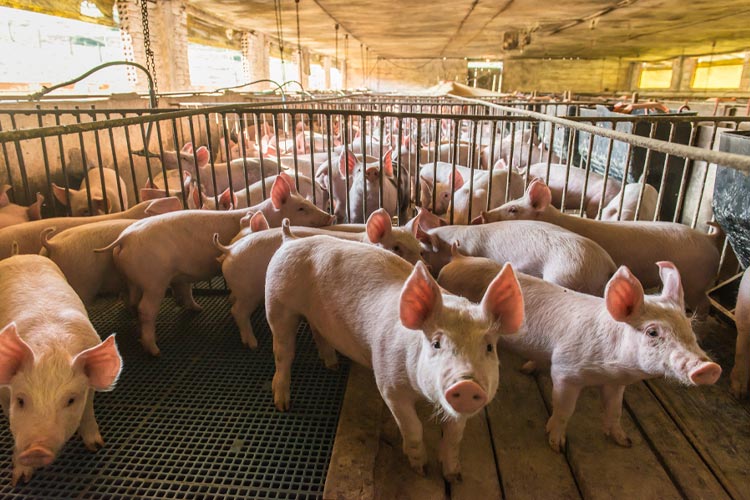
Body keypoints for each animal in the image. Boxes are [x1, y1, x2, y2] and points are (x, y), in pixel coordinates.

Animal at [0, 255, 123, 485]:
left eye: (70, 400)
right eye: (20, 400)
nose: (36, 450)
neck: (51, 349)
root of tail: (19, 255)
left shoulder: (88, 389)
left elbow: (87, 412)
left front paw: (96, 447)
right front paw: (19, 480)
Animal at [96, 174, 334, 356]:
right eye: (301, 208)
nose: (330, 216)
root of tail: (123, 238)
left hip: (132, 279)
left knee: (132, 300)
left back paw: (194, 309)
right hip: (154, 279)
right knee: (146, 308)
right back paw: (155, 351)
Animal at [217, 209, 425, 348]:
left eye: (420, 249)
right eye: (396, 248)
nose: (425, 269)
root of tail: (230, 250)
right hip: (249, 291)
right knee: (238, 311)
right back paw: (252, 343)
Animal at [265, 234, 524, 479]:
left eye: (489, 347)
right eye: (436, 344)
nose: (468, 384)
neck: (423, 396)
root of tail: (290, 240)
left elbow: (454, 436)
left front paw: (454, 476)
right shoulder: (389, 386)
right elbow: (413, 428)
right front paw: (421, 470)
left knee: (318, 332)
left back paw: (333, 366)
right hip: (277, 304)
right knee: (283, 352)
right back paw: (283, 404)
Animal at [438, 251, 721, 451]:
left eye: (689, 327)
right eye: (653, 332)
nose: (709, 367)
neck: (610, 368)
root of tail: (457, 259)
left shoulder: (616, 383)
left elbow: (615, 411)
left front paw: (625, 441)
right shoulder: (565, 371)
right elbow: (564, 410)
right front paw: (556, 445)